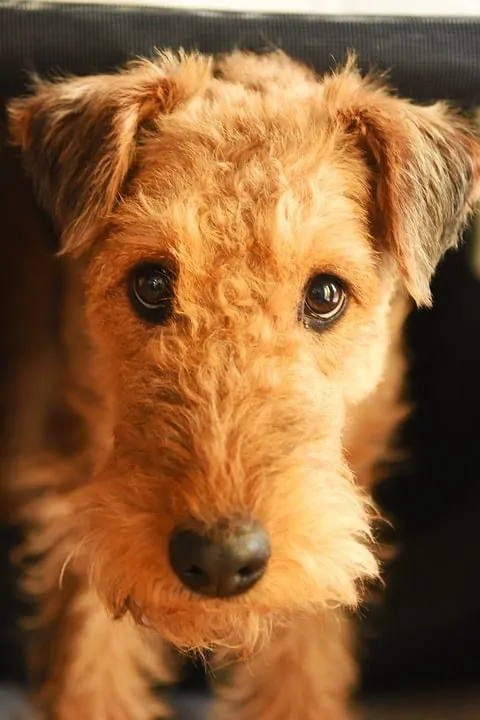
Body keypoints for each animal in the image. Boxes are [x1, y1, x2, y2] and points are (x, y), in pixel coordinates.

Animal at [4, 52, 480, 720]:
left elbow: (301, 674)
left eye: (326, 293)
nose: (220, 559)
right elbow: (94, 673)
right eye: (151, 283)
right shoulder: (76, 491)